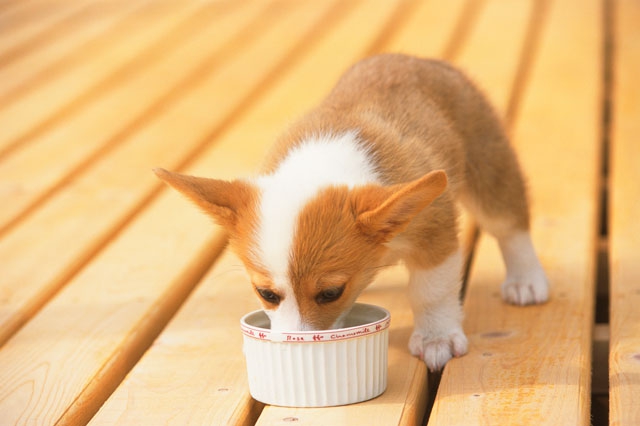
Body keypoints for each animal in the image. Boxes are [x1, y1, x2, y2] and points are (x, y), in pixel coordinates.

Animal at [156, 54, 552, 372]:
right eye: (266, 294)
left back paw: (525, 280)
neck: (319, 168)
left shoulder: (435, 233)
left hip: (489, 167)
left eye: (331, 293)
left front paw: (435, 338)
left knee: (509, 224)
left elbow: (431, 291)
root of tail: (417, 60)